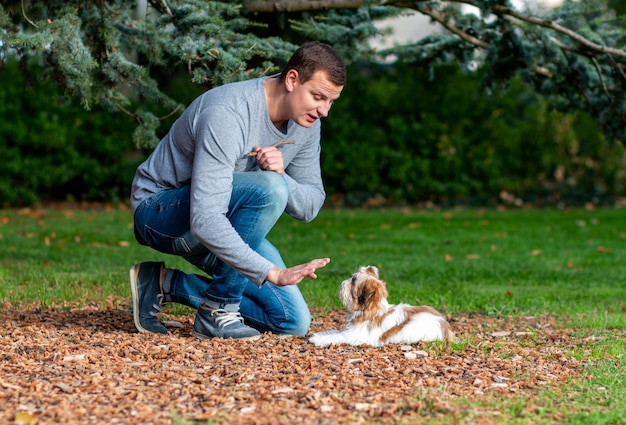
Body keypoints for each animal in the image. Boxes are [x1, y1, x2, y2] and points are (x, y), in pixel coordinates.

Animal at [308, 264, 450, 348]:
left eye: (353, 280)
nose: (345, 281)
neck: (370, 311)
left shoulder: (354, 336)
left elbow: (336, 337)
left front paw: (318, 340)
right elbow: (335, 332)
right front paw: (320, 334)